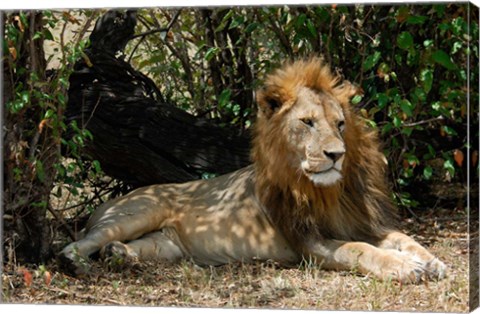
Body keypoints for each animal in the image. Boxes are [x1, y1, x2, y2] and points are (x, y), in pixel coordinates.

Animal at [59, 57, 446, 284]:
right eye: (307, 122)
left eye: (339, 124)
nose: (336, 154)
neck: (329, 191)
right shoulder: (309, 241)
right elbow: (359, 250)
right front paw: (404, 267)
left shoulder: (366, 222)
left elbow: (405, 239)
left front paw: (432, 262)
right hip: (137, 212)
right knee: (78, 242)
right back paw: (76, 263)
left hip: (166, 245)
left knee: (130, 246)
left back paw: (120, 256)